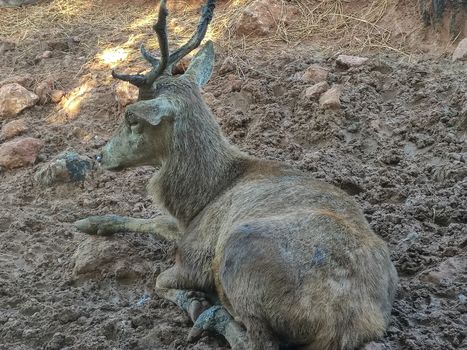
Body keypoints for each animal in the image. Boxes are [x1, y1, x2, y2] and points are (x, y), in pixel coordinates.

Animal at [74, 1, 398, 348]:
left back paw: (211, 315)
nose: (100, 155)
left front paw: (194, 300)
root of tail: (347, 326)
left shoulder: (195, 255)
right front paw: (90, 222)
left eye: (132, 118)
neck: (202, 198)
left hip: (238, 253)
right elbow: (155, 221)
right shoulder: (185, 228)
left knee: (258, 340)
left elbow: (160, 280)